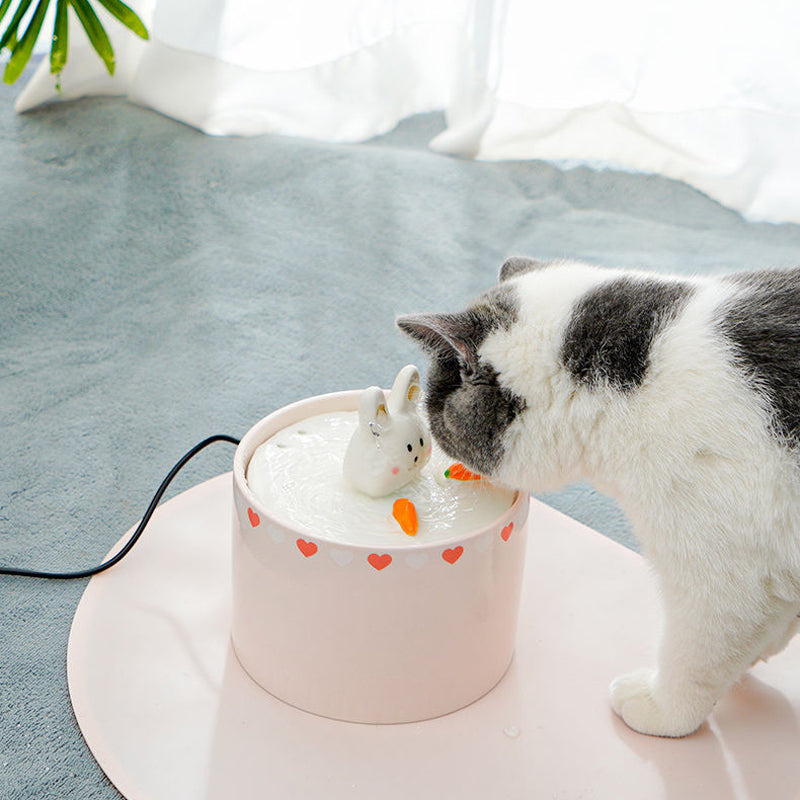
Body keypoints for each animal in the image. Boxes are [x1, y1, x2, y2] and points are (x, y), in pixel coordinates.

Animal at [396, 256, 800, 736]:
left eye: (435, 415)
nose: (430, 447)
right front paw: (763, 646)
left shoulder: (721, 573)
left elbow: (696, 652)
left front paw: (662, 709)